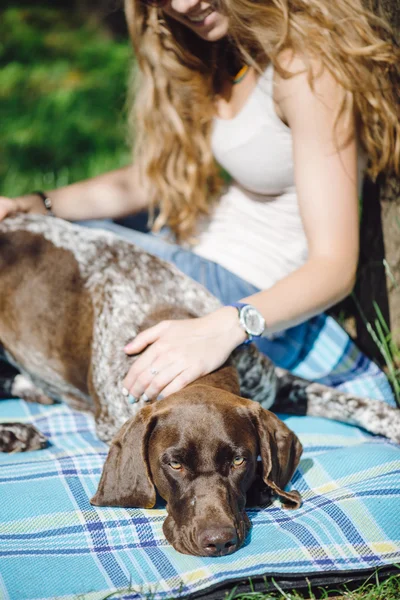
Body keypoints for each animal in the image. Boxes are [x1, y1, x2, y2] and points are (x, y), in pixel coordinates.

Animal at [2, 212, 400, 556]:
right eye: (174, 465)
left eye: (238, 460)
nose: (218, 541)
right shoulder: (112, 417)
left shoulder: (274, 385)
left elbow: (360, 404)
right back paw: (15, 431)